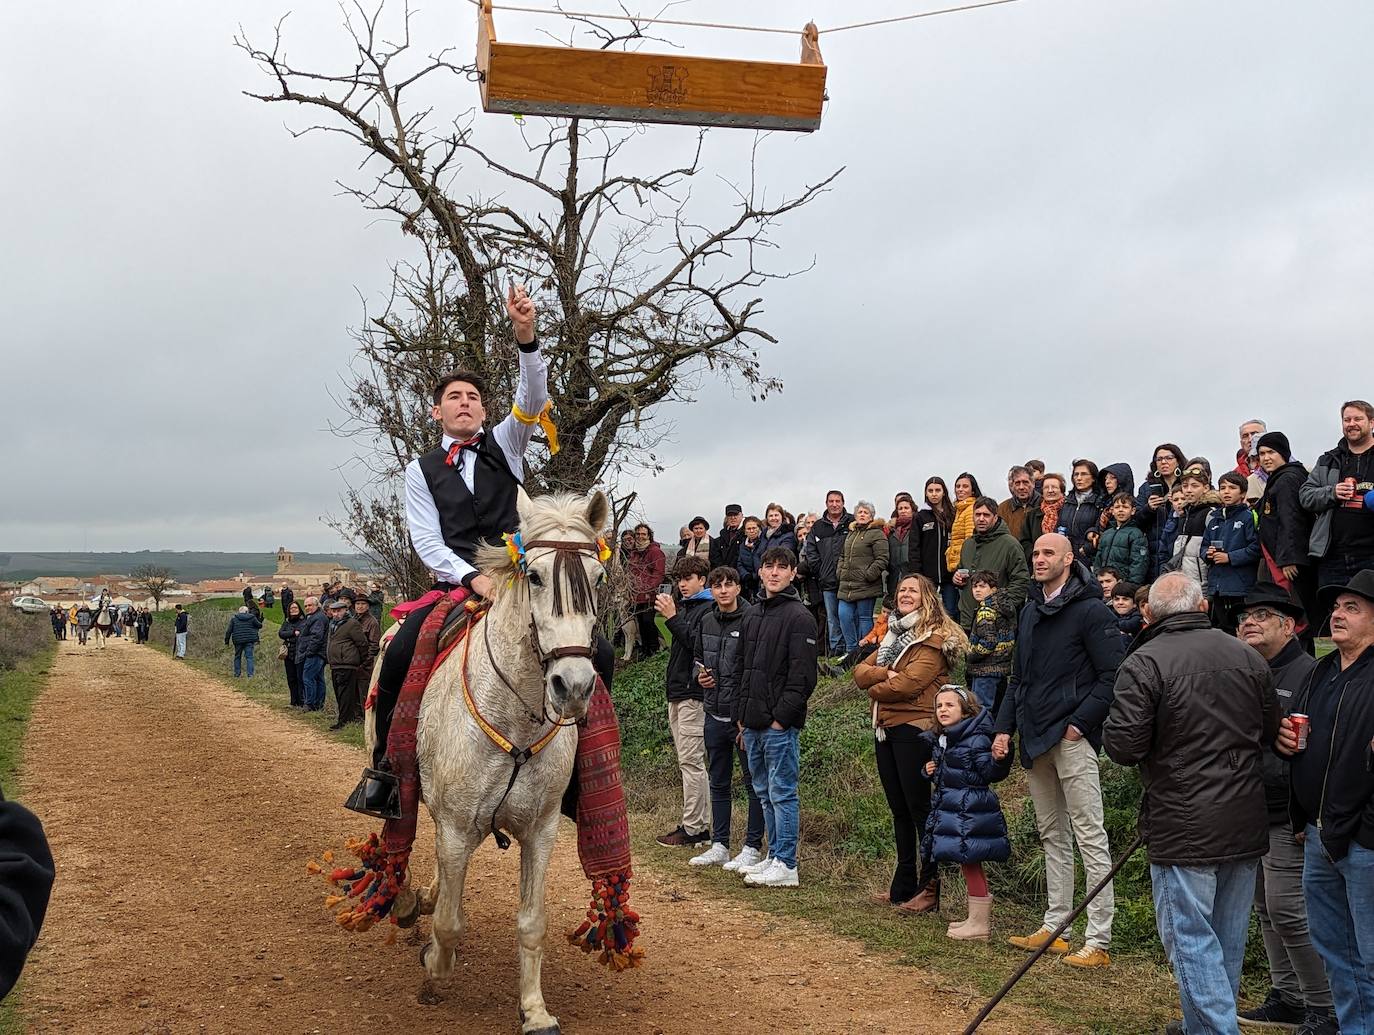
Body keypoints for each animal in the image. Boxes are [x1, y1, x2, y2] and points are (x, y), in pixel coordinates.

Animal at [365, 486, 607, 1033]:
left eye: (598, 577)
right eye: (534, 576)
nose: (573, 687)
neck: (517, 717)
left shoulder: (540, 832)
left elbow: (532, 924)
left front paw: (535, 1010)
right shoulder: (457, 827)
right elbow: (449, 925)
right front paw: (434, 971)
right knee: (401, 835)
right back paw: (407, 900)